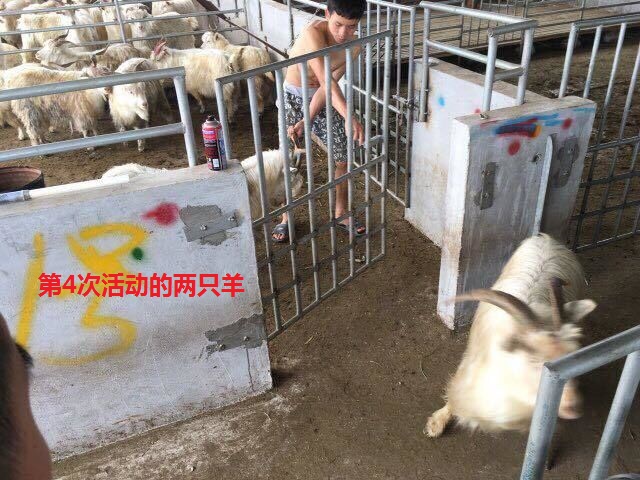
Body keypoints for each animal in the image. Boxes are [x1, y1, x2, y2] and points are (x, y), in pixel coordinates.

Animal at [425, 233, 597, 439]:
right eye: (533, 360)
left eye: (570, 355)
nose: (573, 408)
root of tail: (546, 238)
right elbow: (455, 395)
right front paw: (436, 423)